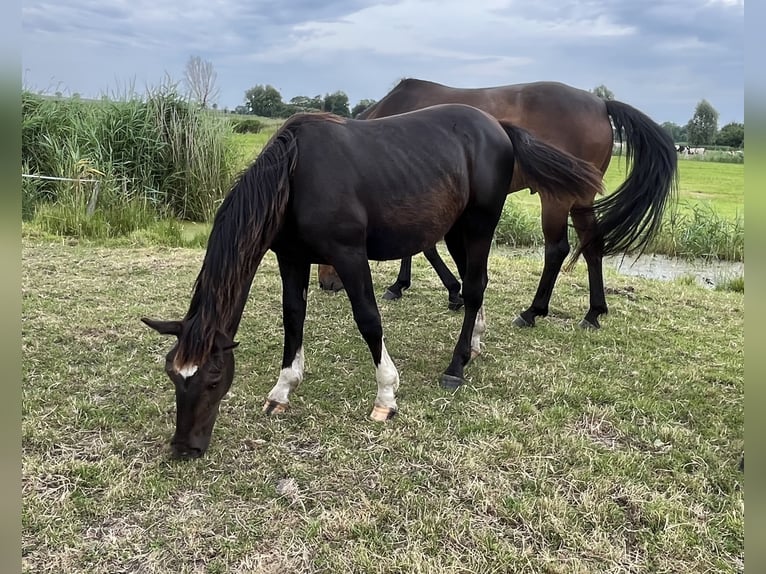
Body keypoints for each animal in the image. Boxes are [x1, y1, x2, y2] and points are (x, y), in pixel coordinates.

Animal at [141, 103, 604, 459]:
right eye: (173, 376)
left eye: (213, 378)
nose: (184, 448)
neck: (295, 174)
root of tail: (497, 127)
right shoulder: (291, 260)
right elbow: (293, 317)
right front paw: (283, 390)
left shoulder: (349, 256)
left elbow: (368, 320)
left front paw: (386, 397)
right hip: (457, 230)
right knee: (478, 284)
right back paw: (473, 344)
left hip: (479, 225)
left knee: (473, 289)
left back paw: (456, 366)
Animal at [317, 79, 679, 329]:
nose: (327, 283)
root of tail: (600, 102)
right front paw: (407, 285)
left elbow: (426, 248)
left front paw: (446, 290)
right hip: (581, 199)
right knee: (592, 246)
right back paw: (593, 312)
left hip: (557, 199)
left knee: (556, 250)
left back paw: (533, 312)